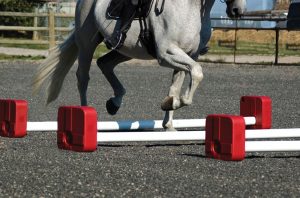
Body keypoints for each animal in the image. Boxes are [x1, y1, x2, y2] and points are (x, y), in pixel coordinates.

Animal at [34, 0, 246, 131]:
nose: (237, 11)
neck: (188, 7)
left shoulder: (188, 55)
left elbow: (177, 86)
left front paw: (169, 119)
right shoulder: (166, 53)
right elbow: (197, 72)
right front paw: (172, 104)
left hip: (125, 50)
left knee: (104, 63)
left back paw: (115, 102)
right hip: (87, 42)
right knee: (83, 77)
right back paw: (86, 114)